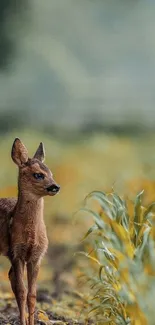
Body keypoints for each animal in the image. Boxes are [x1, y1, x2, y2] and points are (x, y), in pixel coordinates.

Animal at [0, 137, 60, 324]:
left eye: (51, 173)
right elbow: (21, 291)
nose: (55, 186)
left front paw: (31, 322)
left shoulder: (37, 256)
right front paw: (22, 322)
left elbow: (32, 294)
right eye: (38, 174)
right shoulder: (15, 252)